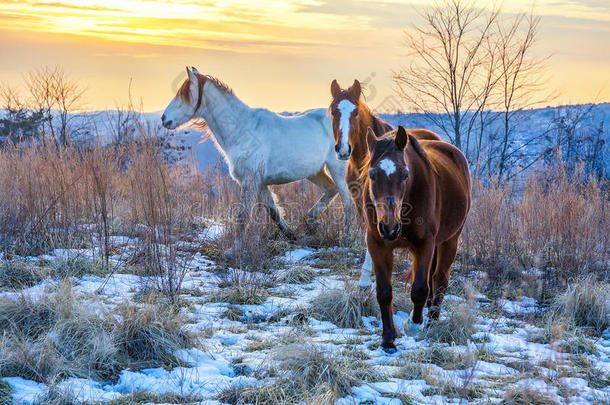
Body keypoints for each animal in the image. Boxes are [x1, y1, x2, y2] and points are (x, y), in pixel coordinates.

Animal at [159, 67, 354, 251]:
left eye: (183, 93)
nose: (164, 119)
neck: (242, 129)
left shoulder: (250, 180)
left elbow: (243, 215)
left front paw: (234, 250)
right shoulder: (260, 183)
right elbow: (274, 212)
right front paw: (291, 236)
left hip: (337, 168)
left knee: (348, 202)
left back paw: (347, 239)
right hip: (315, 172)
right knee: (331, 190)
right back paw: (312, 223)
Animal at [360, 125, 470, 350]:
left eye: (405, 174)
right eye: (372, 174)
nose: (389, 227)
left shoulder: (424, 244)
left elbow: (419, 288)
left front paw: (413, 325)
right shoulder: (377, 244)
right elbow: (384, 292)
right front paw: (388, 339)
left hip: (450, 241)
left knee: (439, 280)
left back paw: (431, 324)